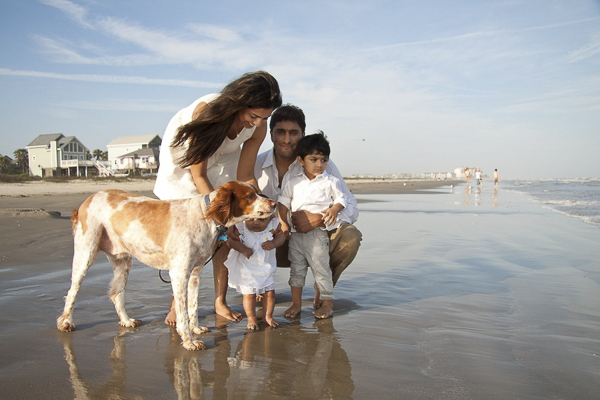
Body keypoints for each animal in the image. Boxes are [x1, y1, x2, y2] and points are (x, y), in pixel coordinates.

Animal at [55, 180, 276, 350]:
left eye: (258, 192)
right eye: (250, 196)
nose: (274, 203)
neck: (204, 217)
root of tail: (88, 199)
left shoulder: (195, 273)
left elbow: (193, 306)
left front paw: (196, 329)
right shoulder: (179, 273)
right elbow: (182, 313)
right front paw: (189, 341)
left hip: (122, 260)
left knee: (116, 293)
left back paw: (126, 321)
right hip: (85, 253)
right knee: (72, 291)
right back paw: (66, 322)